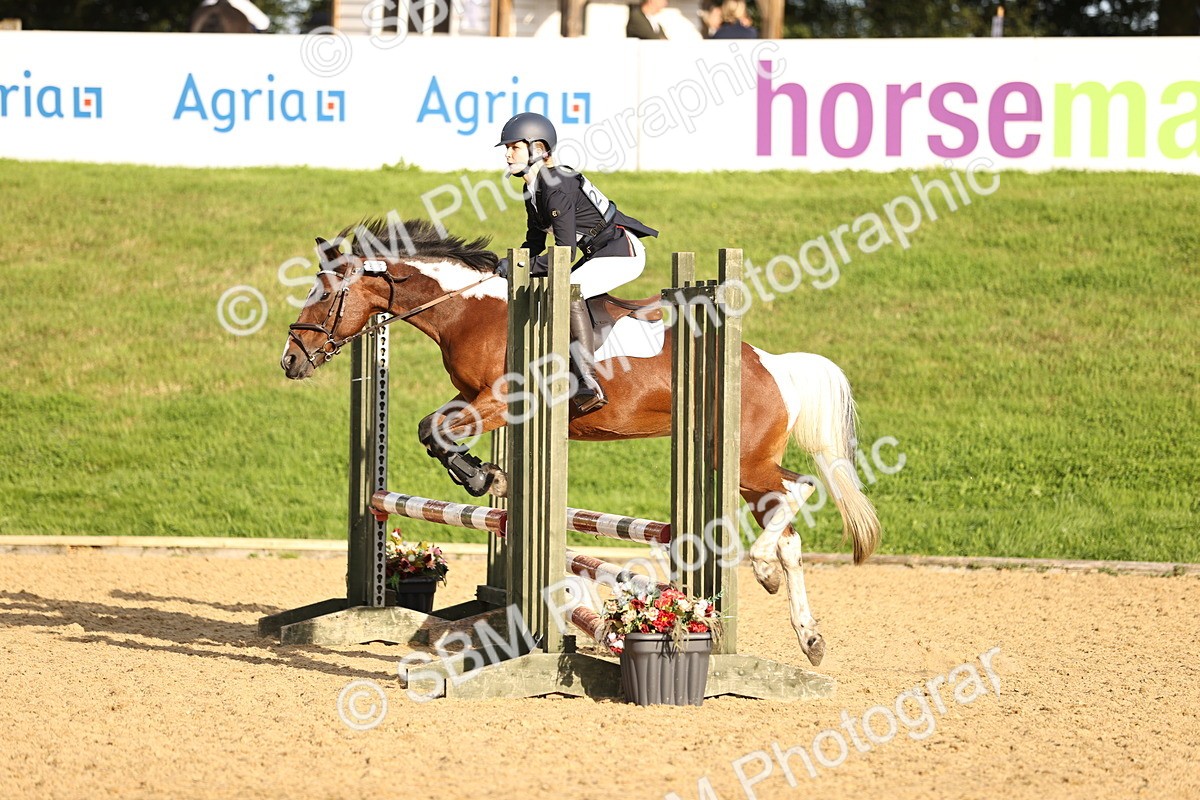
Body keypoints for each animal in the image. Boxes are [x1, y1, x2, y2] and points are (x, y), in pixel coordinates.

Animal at [280, 218, 880, 666]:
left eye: (325, 295)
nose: (290, 361)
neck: (471, 309)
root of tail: (769, 364)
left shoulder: (501, 399)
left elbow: (434, 430)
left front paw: (484, 477)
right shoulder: (475, 398)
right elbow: (432, 428)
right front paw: (489, 477)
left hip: (740, 460)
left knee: (800, 489)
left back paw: (761, 571)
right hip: (739, 464)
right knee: (790, 530)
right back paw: (808, 636)